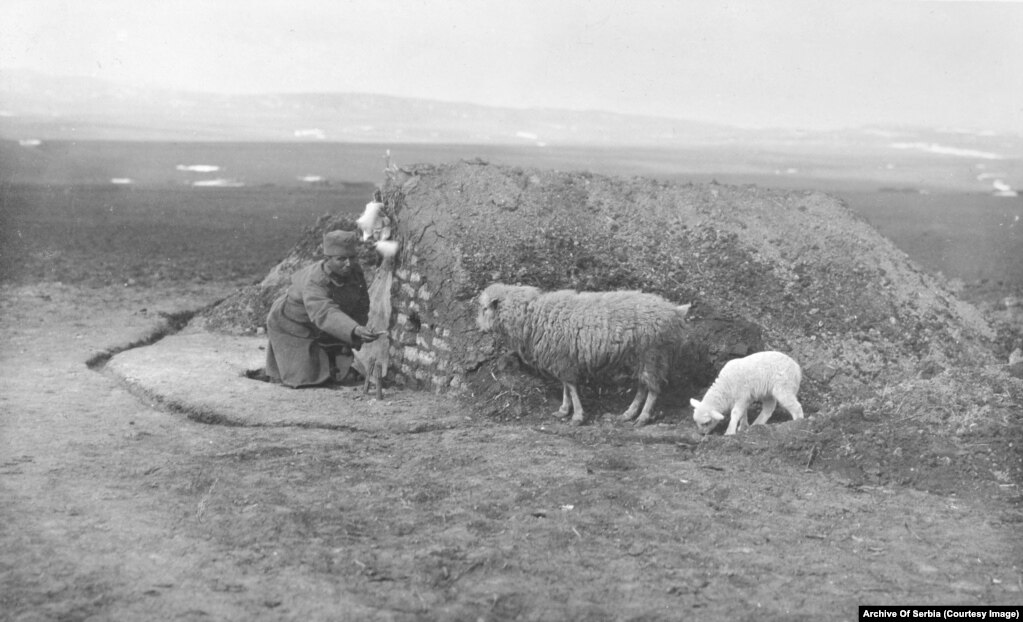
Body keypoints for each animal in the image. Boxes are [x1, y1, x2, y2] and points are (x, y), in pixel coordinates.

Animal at [474, 282, 691, 425]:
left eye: (484, 309)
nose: (479, 328)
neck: (532, 316)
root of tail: (675, 311)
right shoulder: (562, 359)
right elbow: (565, 386)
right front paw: (564, 410)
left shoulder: (563, 359)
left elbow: (571, 387)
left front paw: (577, 416)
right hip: (641, 358)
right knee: (643, 386)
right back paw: (629, 413)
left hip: (653, 355)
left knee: (653, 389)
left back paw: (643, 417)